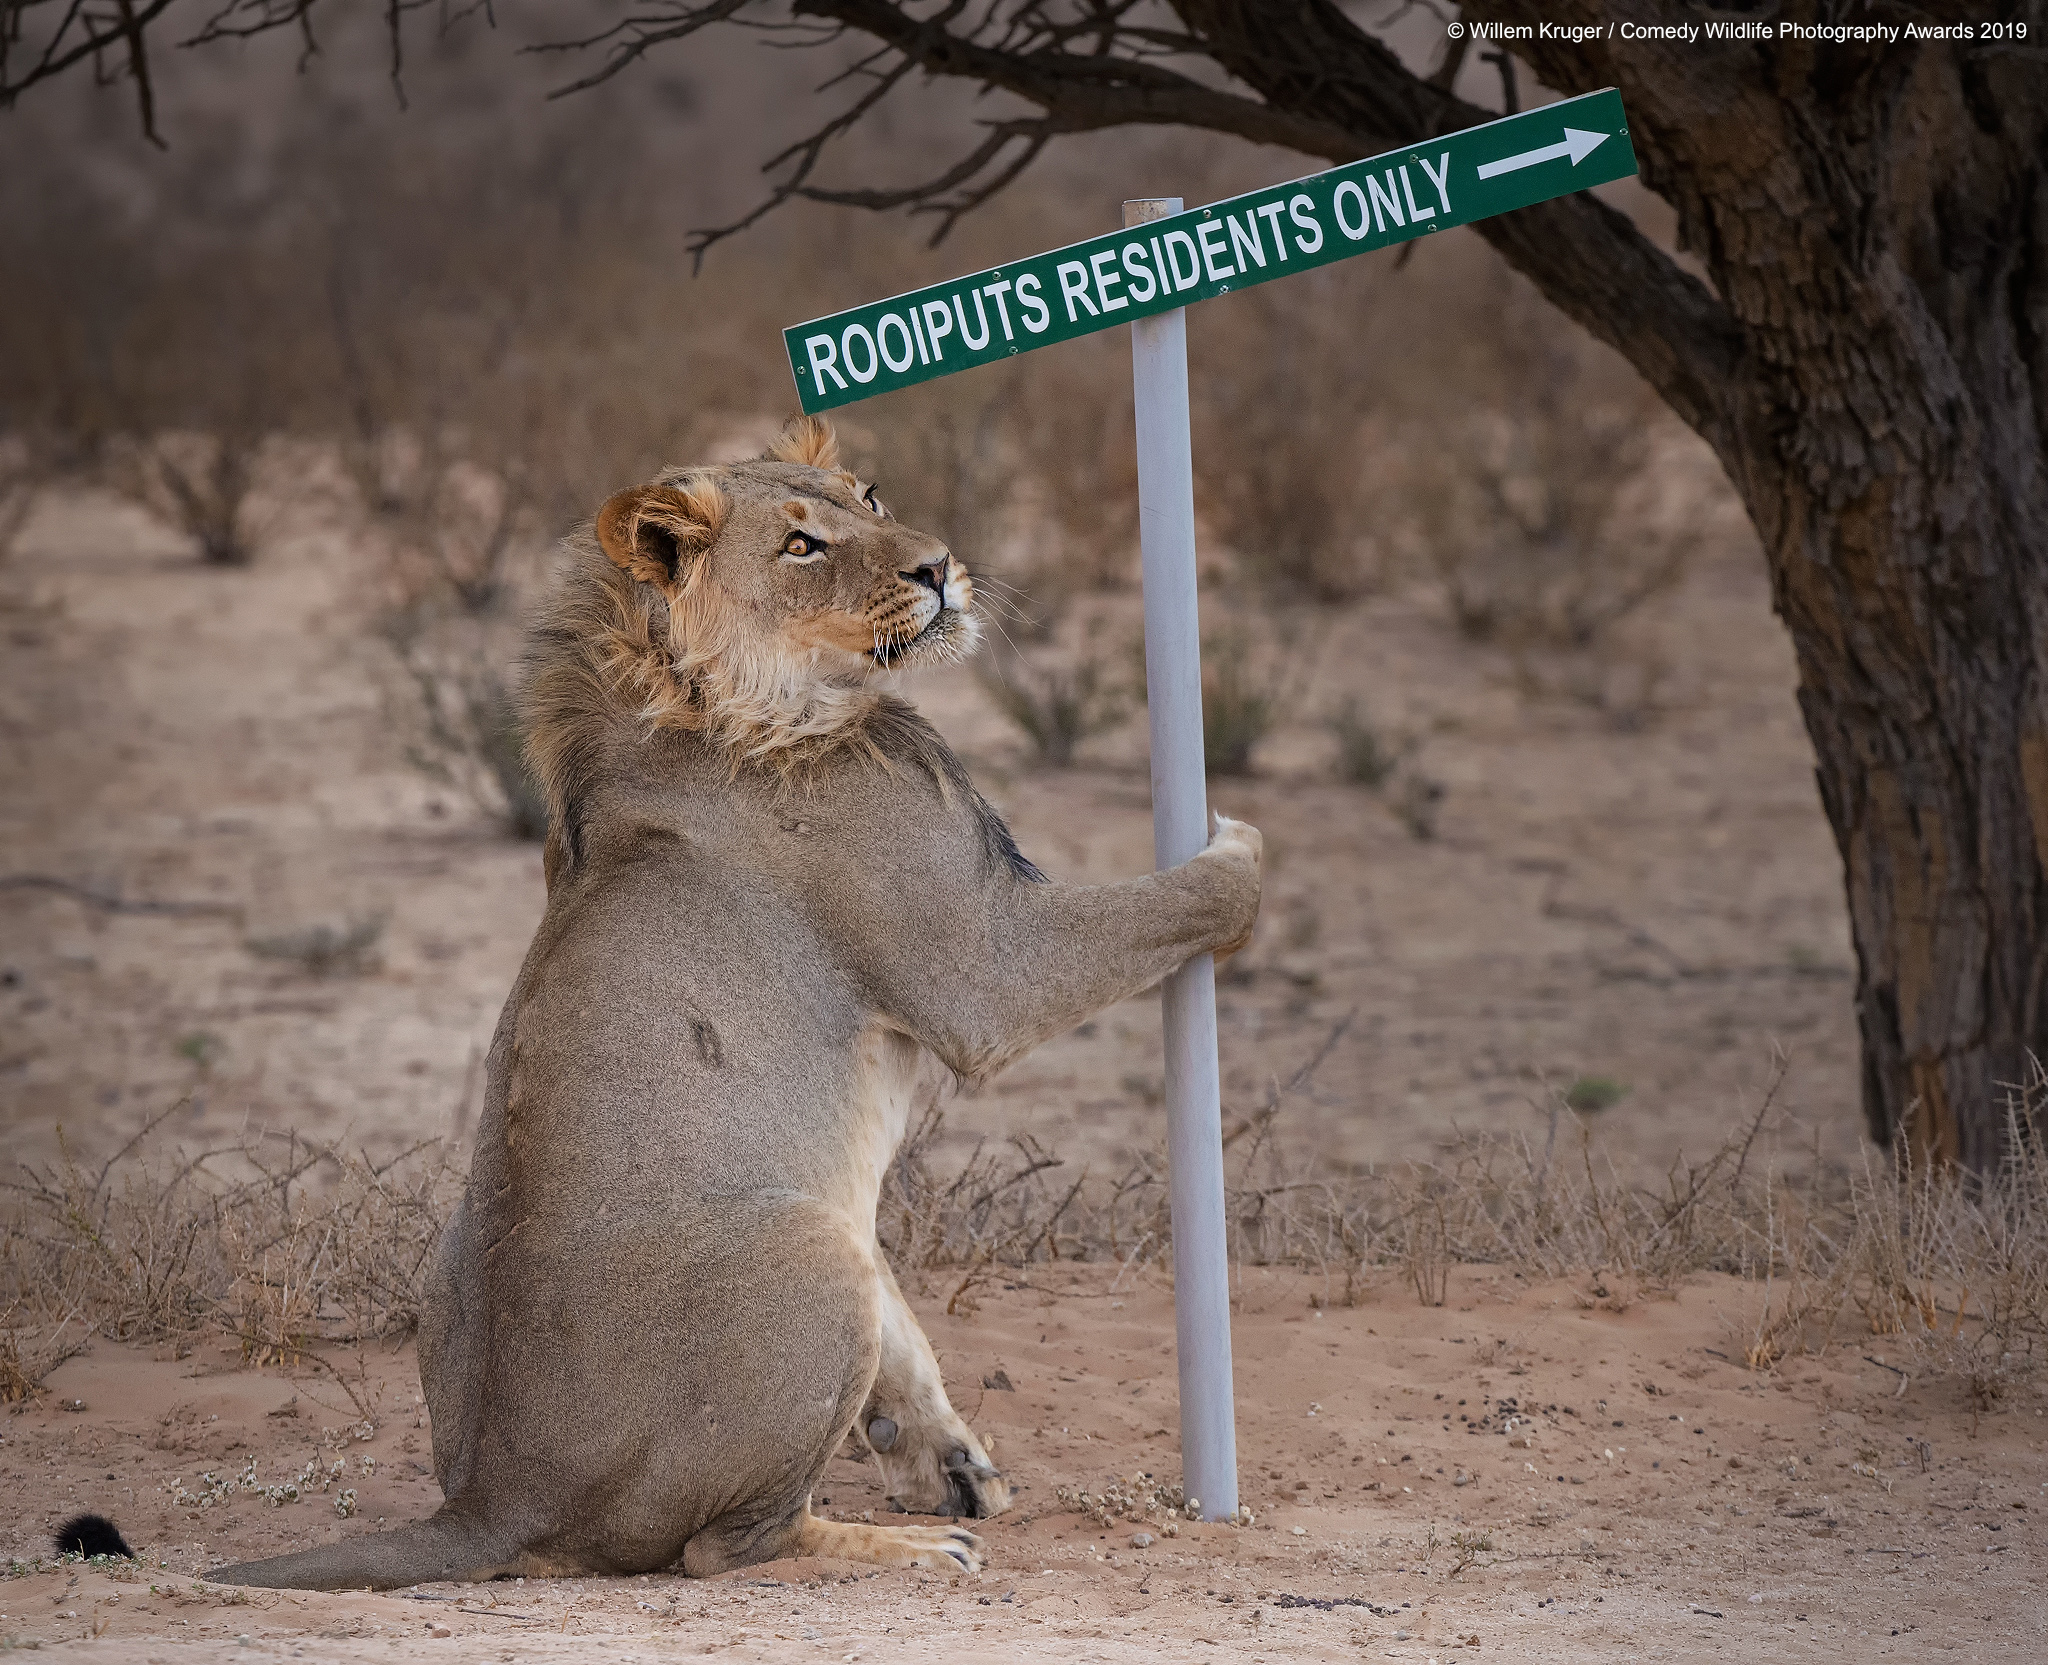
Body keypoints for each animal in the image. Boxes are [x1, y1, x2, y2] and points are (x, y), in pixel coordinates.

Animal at [211, 415, 1261, 1581]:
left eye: (870, 496)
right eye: (801, 546)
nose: (939, 566)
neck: (744, 705)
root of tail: (491, 1499)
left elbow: (906, 1336)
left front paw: (949, 1459)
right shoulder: (986, 965)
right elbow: (1181, 898)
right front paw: (1240, 843)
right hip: (806, 1252)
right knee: (735, 1545)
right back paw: (910, 1550)